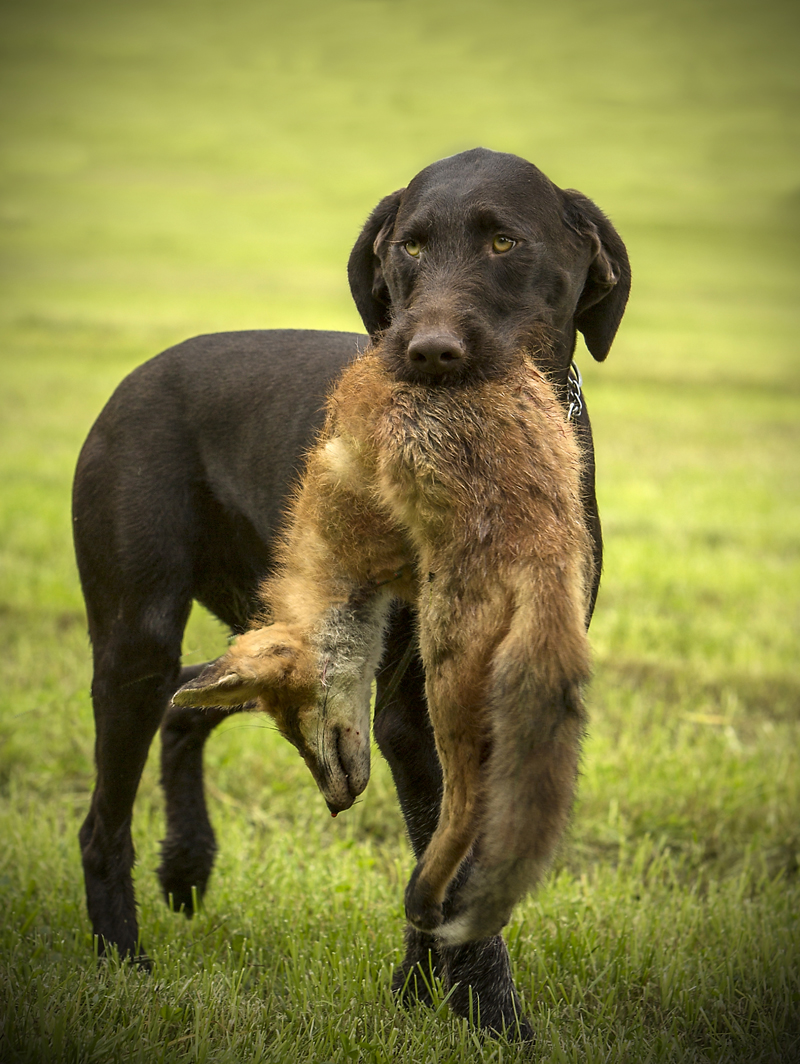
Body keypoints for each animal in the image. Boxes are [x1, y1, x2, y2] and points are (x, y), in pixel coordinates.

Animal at [173, 336, 595, 944]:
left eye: (295, 719)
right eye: (284, 732)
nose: (332, 807)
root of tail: (540, 542)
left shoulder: (375, 550)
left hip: (444, 665)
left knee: (472, 797)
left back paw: (426, 898)